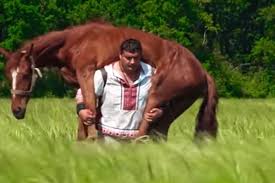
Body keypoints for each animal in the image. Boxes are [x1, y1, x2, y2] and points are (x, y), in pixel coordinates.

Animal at [0, 20, 220, 140]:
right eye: (8, 75)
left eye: (25, 74)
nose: (17, 110)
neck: (74, 41)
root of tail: (202, 71)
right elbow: (86, 115)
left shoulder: (87, 73)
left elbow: (89, 112)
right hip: (173, 107)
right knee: (159, 133)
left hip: (156, 95)